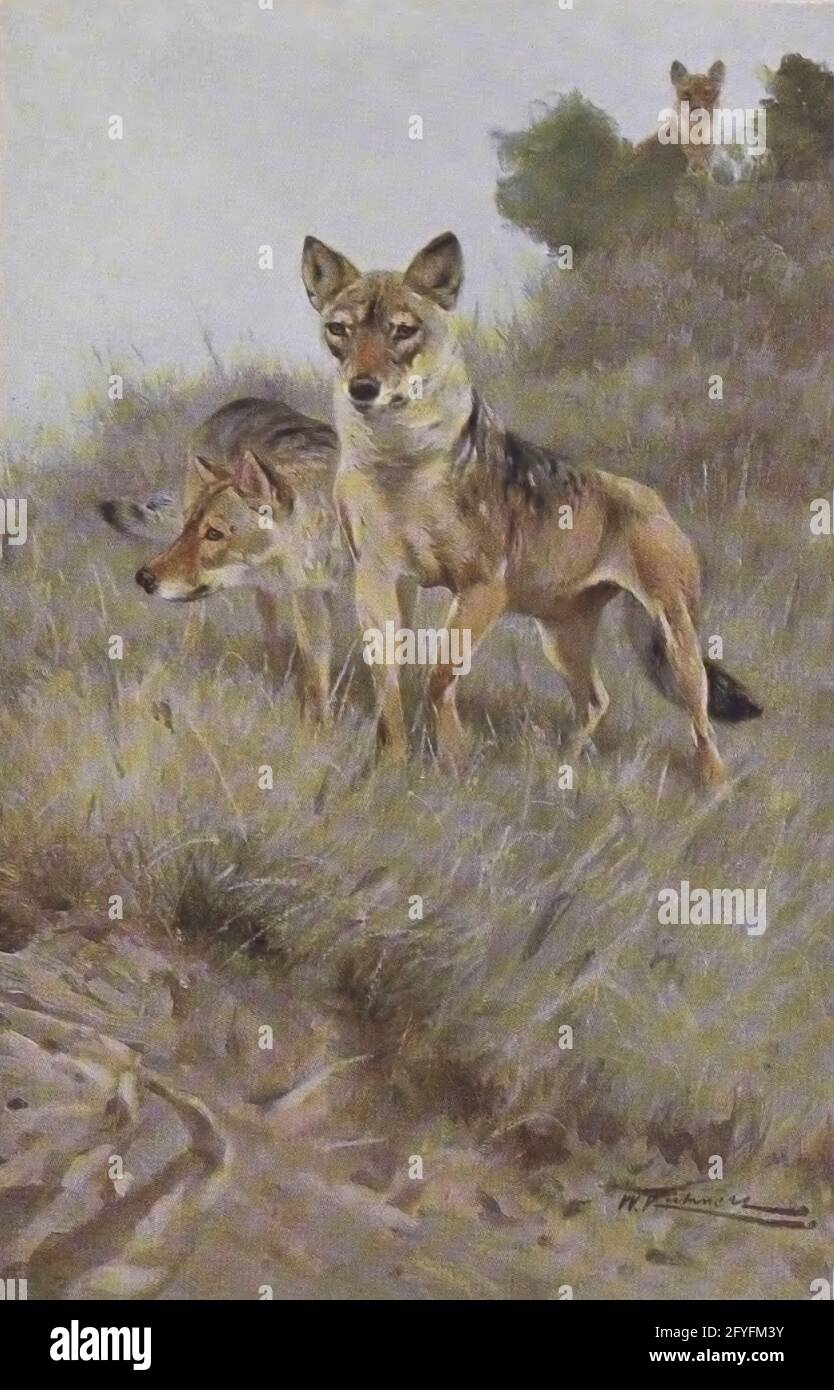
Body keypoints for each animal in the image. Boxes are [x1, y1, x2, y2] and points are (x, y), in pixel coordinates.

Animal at [100, 397, 343, 720]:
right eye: (190, 528)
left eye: (214, 533)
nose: (143, 578)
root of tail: (239, 403)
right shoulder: (310, 595)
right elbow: (318, 682)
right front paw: (320, 729)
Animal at [302, 231, 761, 785]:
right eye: (339, 330)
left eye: (403, 331)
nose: (362, 388)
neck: (400, 461)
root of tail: (657, 501)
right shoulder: (379, 582)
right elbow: (389, 684)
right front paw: (393, 765)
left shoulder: (480, 589)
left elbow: (438, 678)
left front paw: (454, 762)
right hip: (561, 641)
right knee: (597, 701)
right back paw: (563, 769)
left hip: (674, 642)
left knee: (701, 722)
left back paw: (714, 788)